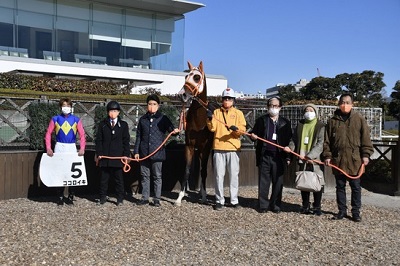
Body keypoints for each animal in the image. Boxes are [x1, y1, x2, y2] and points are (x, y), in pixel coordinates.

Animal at [173, 60, 214, 206]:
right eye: (186, 76)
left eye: (196, 77)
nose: (182, 94)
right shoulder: (189, 146)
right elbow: (187, 170)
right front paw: (179, 197)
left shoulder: (205, 149)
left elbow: (204, 171)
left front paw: (204, 197)